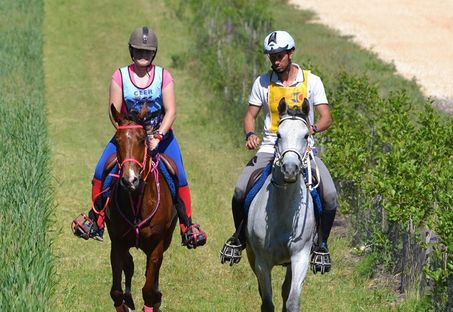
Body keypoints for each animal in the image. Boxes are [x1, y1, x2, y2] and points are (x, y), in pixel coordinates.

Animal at [106, 104, 177, 312]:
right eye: (117, 141)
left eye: (142, 139)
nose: (130, 180)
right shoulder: (117, 243)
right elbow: (117, 291)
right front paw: (126, 302)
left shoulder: (157, 245)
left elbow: (149, 291)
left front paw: (154, 298)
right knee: (130, 266)